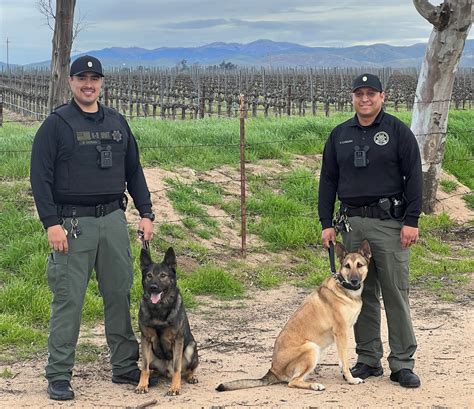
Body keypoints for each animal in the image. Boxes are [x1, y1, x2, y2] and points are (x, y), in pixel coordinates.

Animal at [135, 247, 198, 394]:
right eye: (149, 275)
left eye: (163, 275)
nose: (153, 287)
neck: (159, 309)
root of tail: (165, 371)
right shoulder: (145, 339)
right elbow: (144, 368)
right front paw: (142, 385)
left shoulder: (178, 340)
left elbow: (177, 368)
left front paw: (175, 387)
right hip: (151, 355)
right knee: (150, 368)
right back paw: (153, 375)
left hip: (191, 346)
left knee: (188, 369)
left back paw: (191, 376)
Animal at [217, 239, 372, 392]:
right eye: (347, 266)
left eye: (359, 265)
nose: (354, 281)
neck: (345, 289)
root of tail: (273, 371)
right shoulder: (341, 333)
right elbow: (345, 362)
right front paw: (351, 379)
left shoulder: (342, 335)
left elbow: (342, 360)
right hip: (311, 348)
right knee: (293, 382)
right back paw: (315, 385)